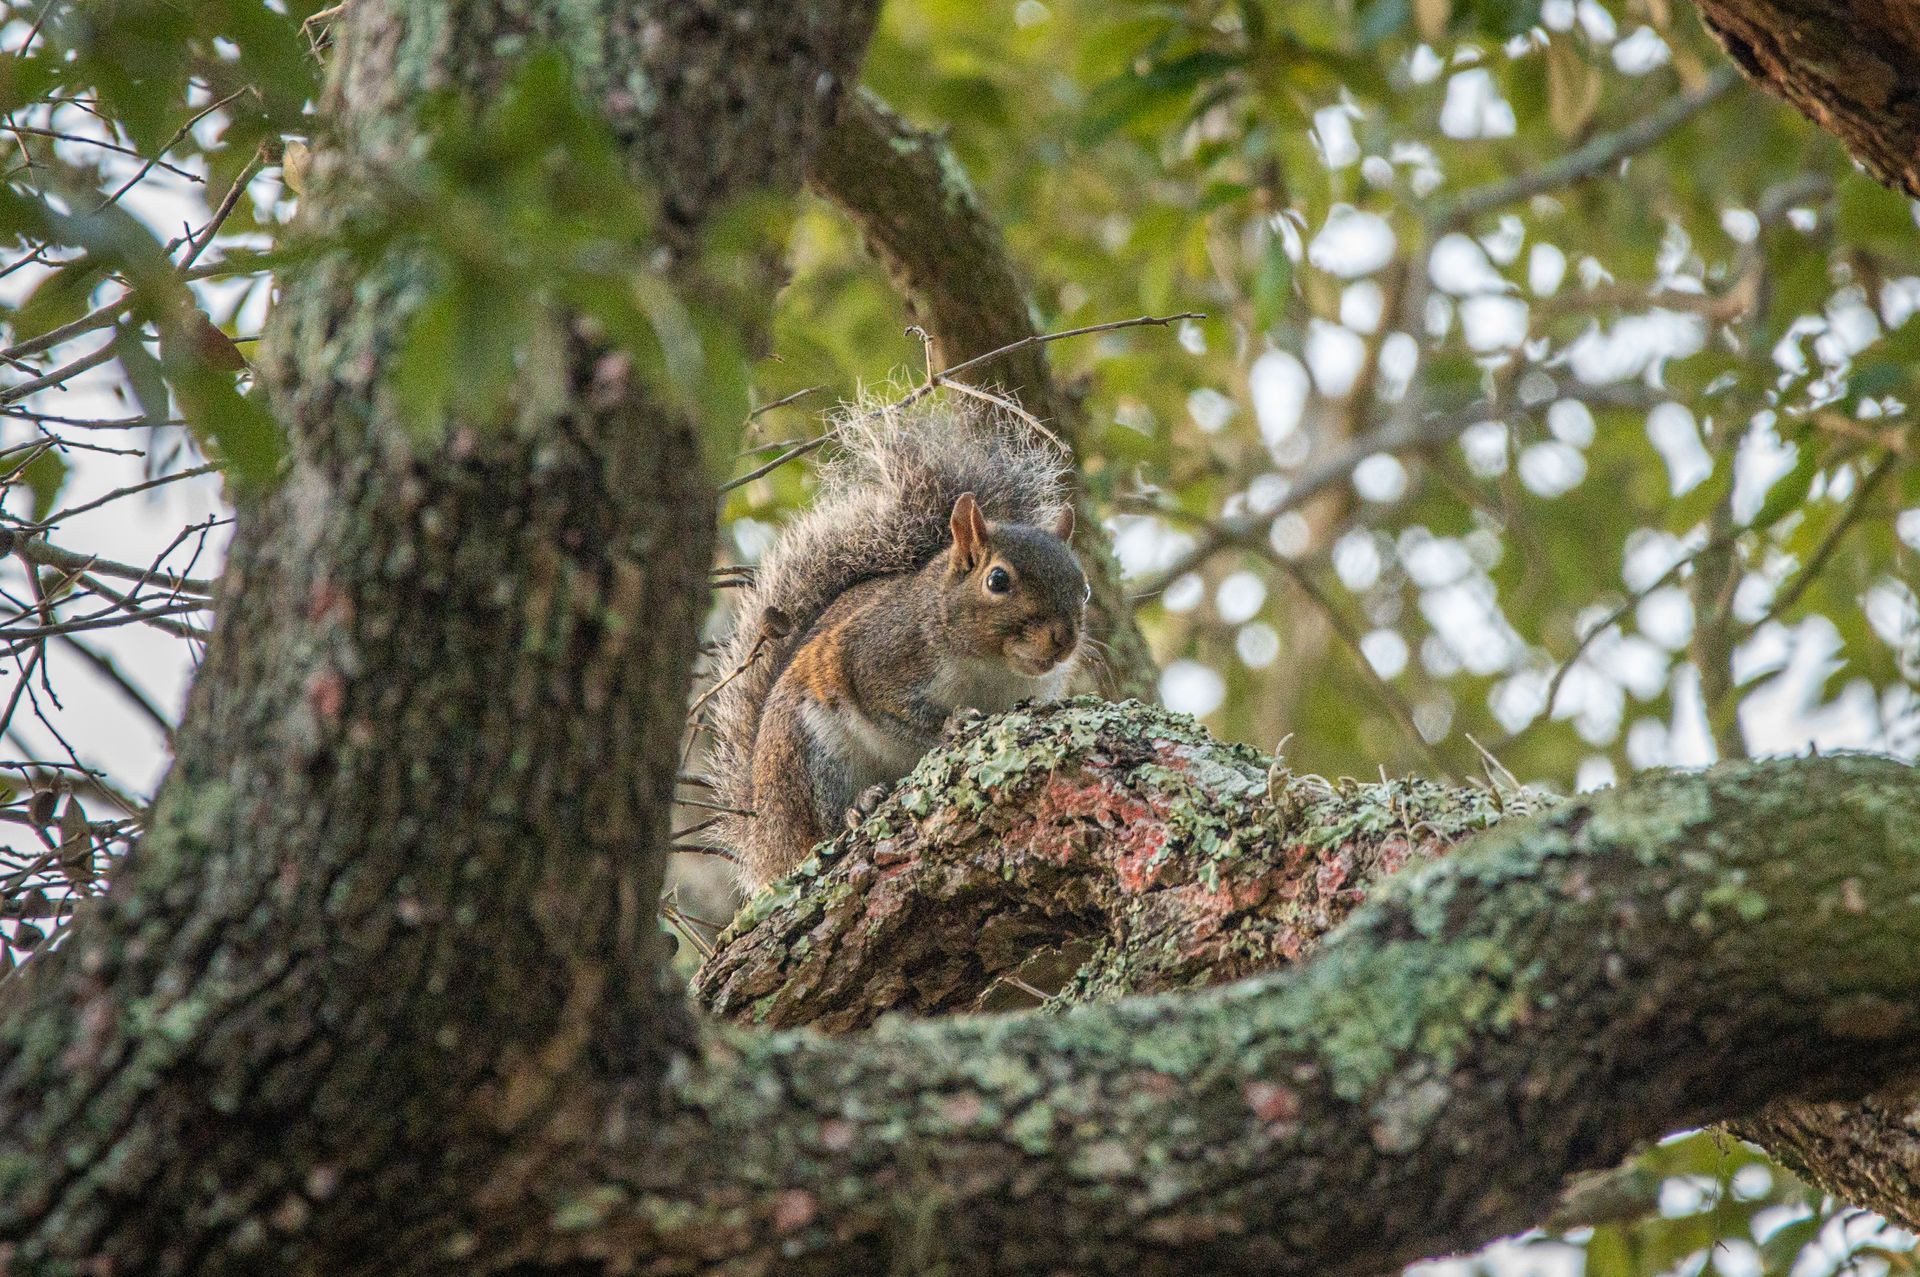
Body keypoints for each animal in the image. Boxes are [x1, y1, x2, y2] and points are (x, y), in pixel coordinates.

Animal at [707, 400, 1090, 893]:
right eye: (998, 580)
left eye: (1084, 590)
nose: (1064, 639)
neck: (992, 667)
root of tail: (765, 837)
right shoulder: (877, 657)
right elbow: (895, 713)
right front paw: (951, 724)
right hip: (810, 750)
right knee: (820, 826)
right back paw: (857, 808)